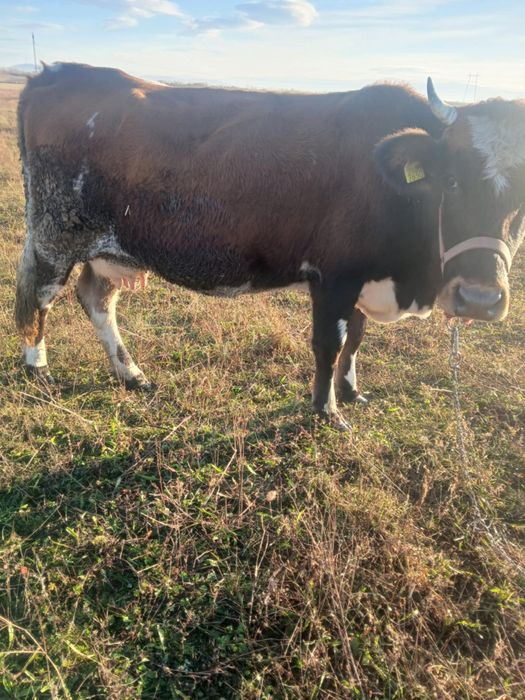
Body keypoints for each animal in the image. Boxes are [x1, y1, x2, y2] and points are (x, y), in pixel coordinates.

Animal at [15, 63, 525, 430]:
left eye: (522, 199)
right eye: (452, 181)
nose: (480, 299)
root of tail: (56, 72)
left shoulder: (362, 279)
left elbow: (356, 339)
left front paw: (352, 392)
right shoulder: (333, 277)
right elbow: (330, 344)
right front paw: (327, 410)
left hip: (109, 250)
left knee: (96, 299)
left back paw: (132, 374)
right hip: (54, 235)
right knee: (39, 297)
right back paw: (38, 367)